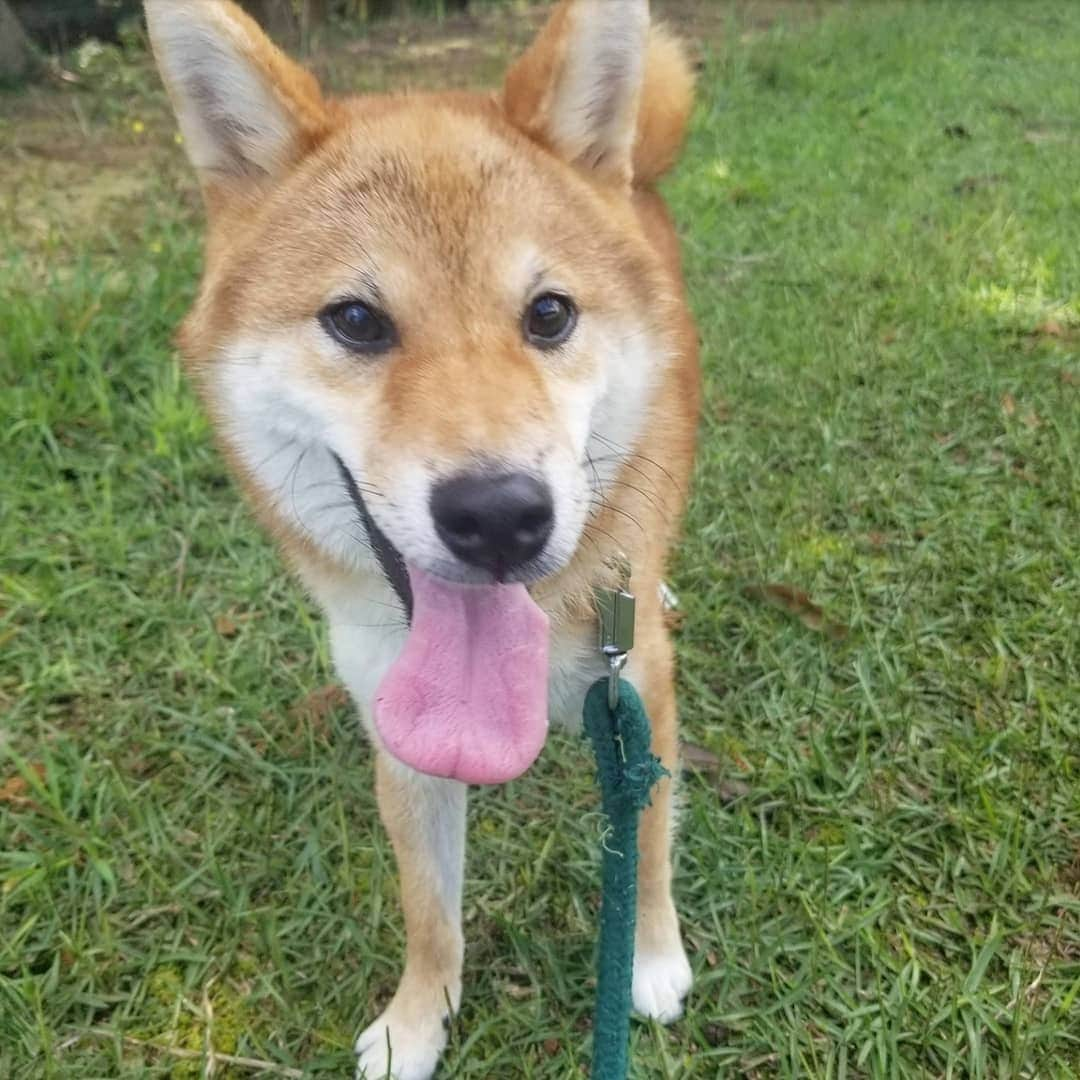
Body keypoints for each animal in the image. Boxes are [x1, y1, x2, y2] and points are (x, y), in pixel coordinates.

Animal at [143, 4, 699, 1075]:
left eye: (549, 313)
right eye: (357, 320)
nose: (500, 514)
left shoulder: (638, 688)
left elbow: (645, 837)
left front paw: (649, 958)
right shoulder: (395, 723)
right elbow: (429, 910)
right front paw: (417, 1021)